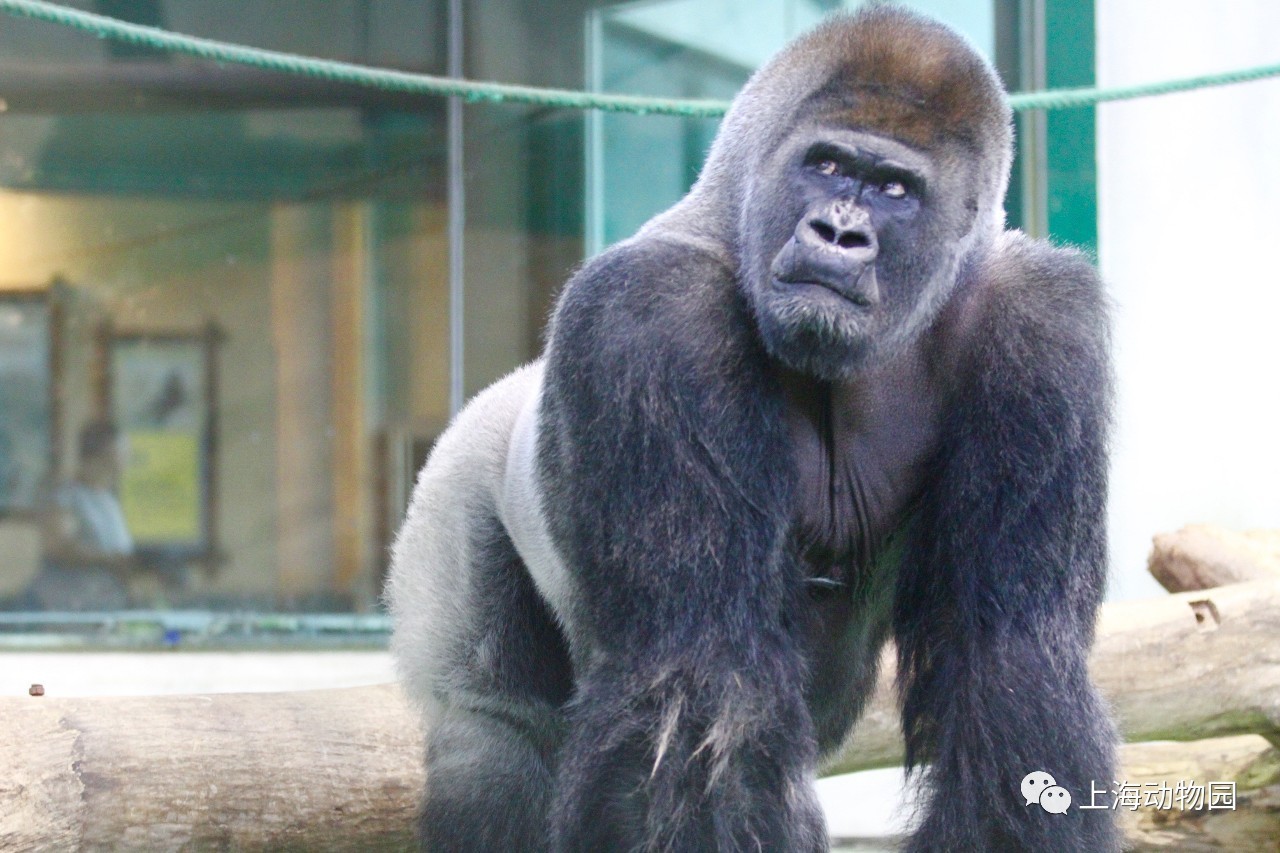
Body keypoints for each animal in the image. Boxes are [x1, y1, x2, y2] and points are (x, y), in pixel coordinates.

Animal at [384, 8, 1116, 850]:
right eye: (825, 165)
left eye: (894, 189)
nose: (838, 233)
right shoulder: (652, 313)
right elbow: (700, 682)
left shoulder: (1044, 326)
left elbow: (1009, 662)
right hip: (449, 497)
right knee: (492, 741)